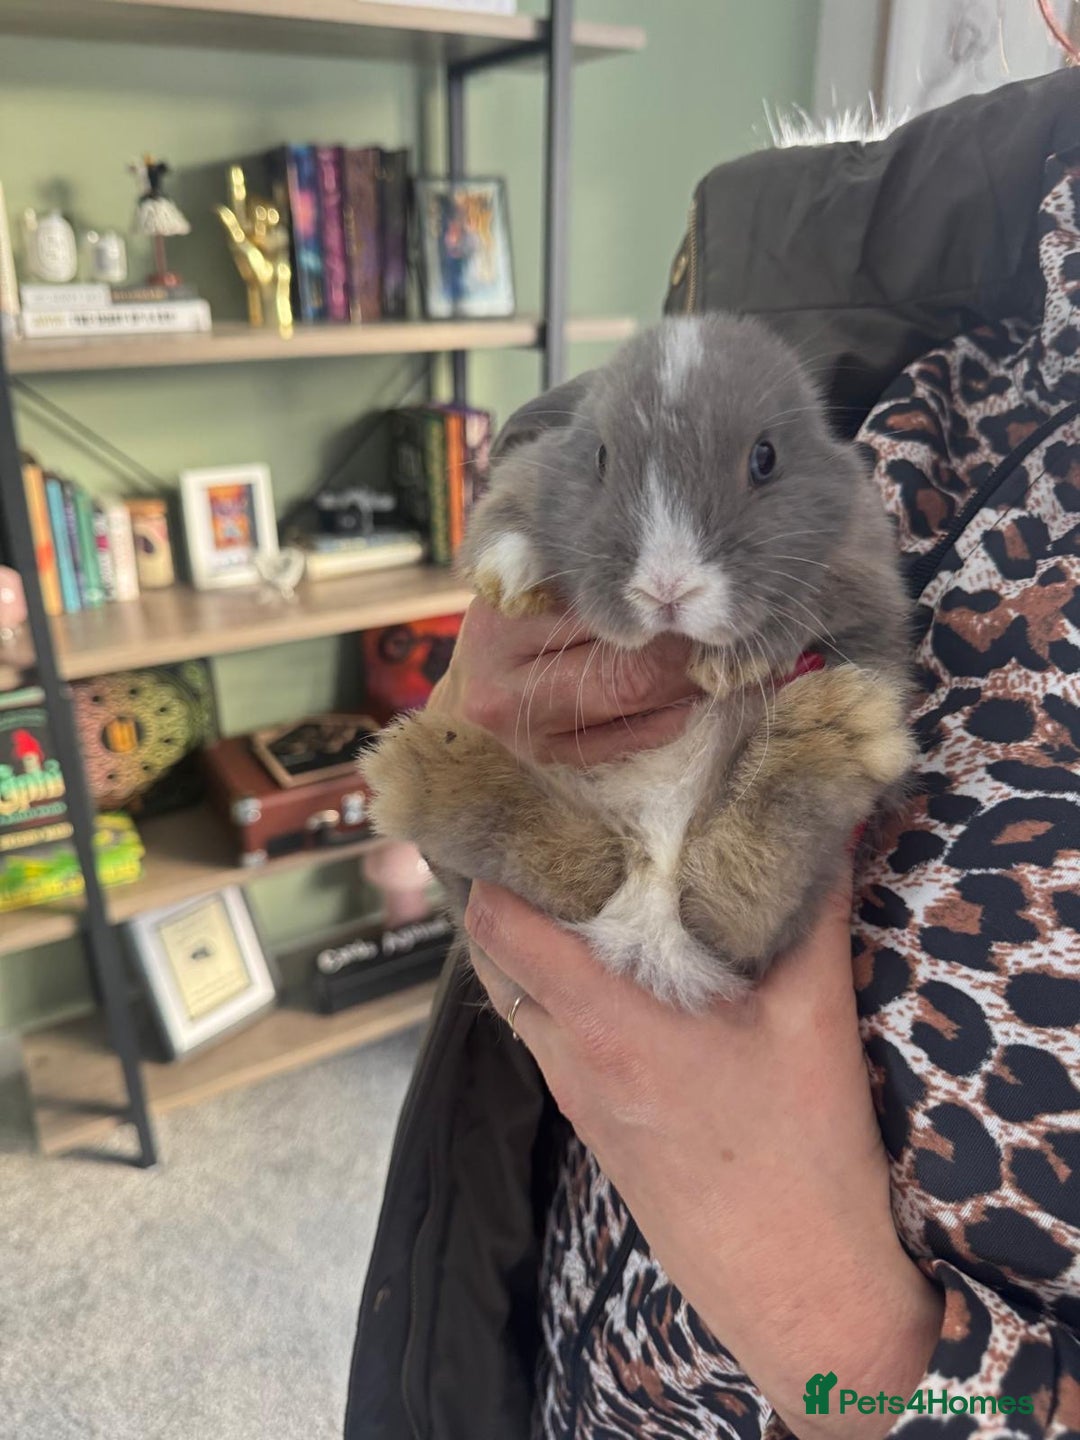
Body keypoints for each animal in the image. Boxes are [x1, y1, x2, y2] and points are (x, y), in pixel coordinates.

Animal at [360, 314, 916, 1010]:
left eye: (765, 458)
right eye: (600, 458)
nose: (667, 588)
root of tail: (648, 924)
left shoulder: (864, 566)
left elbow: (812, 602)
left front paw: (732, 662)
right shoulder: (528, 475)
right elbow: (502, 524)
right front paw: (512, 580)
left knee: (733, 913)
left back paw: (839, 731)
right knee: (586, 873)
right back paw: (426, 768)